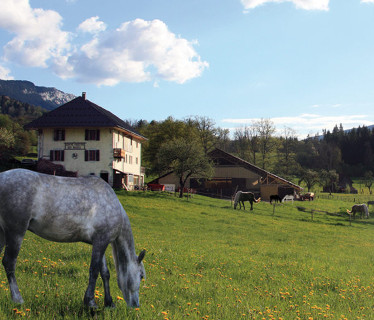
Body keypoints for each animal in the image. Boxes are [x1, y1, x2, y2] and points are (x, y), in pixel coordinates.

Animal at [0, 169, 145, 308]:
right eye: (141, 276)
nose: (136, 305)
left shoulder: (100, 242)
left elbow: (104, 273)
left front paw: (109, 303)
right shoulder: (101, 241)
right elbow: (94, 271)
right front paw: (90, 302)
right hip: (16, 232)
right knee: (9, 262)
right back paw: (18, 299)